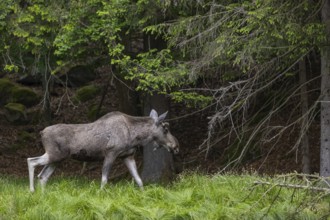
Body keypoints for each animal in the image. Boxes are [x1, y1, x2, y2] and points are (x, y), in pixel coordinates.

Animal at [27, 109, 179, 192]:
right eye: (165, 129)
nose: (176, 146)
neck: (135, 136)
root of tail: (42, 133)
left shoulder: (128, 156)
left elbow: (139, 179)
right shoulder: (110, 153)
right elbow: (104, 180)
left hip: (56, 159)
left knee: (43, 176)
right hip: (54, 155)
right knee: (31, 161)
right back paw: (32, 190)